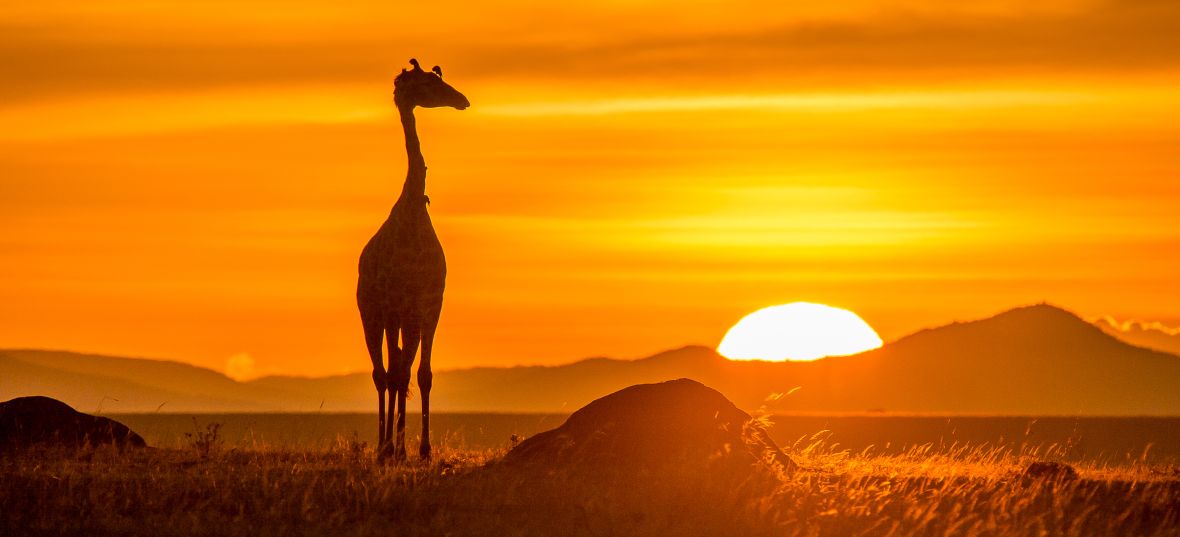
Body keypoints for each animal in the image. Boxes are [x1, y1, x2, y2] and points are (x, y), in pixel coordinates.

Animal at [356, 59, 467, 462]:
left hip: (407, 320)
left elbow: (422, 375)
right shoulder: (392, 306)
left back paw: (398, 446)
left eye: (438, 78)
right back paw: (383, 446)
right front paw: (391, 447)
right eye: (425, 85)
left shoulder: (429, 305)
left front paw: (422, 449)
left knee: (399, 370)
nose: (462, 100)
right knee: (381, 373)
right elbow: (393, 374)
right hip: (371, 314)